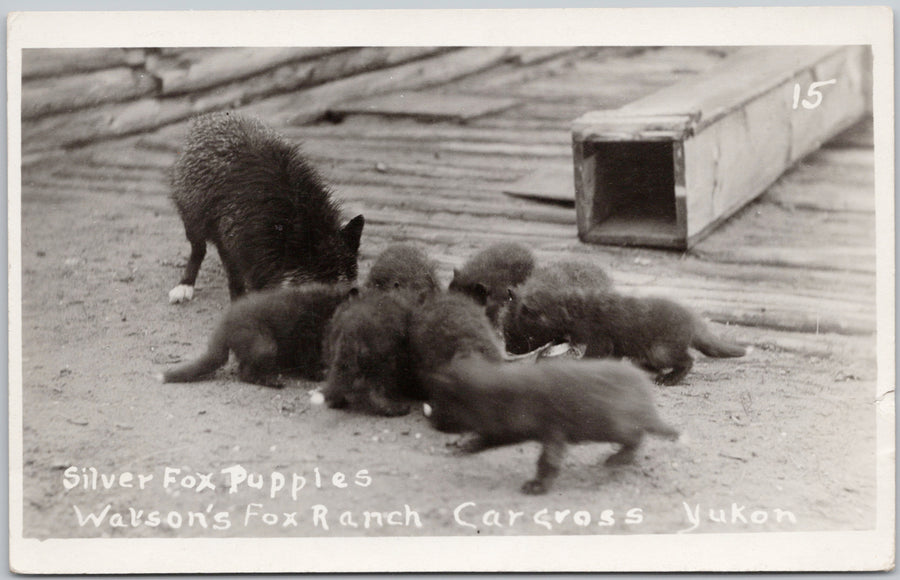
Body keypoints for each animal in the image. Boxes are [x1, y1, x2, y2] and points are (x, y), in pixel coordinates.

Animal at [158, 284, 352, 388]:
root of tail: (224, 326)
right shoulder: (304, 335)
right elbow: (308, 359)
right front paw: (319, 374)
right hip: (265, 344)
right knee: (245, 373)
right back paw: (273, 382)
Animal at [169, 112, 366, 304]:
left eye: (350, 292)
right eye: (321, 293)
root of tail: (207, 118)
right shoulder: (234, 246)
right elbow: (236, 280)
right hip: (192, 222)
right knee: (198, 249)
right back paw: (185, 285)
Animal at [426, 354, 680, 494]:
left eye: (442, 404)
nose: (431, 422)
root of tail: (646, 399)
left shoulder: (553, 430)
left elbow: (547, 461)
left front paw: (536, 486)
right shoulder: (508, 429)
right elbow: (488, 439)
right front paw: (465, 446)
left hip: (619, 425)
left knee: (638, 438)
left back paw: (619, 458)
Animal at [506, 286, 744, 386]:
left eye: (519, 333)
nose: (509, 349)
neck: (574, 309)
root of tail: (693, 320)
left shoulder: (601, 340)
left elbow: (591, 356)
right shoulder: (615, 346)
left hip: (660, 350)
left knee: (688, 360)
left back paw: (668, 379)